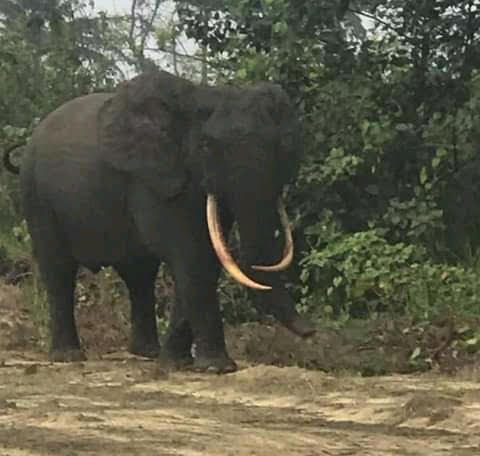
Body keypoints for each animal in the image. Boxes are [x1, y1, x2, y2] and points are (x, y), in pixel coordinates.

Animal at [5, 69, 316, 372]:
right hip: (36, 196)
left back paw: (147, 353)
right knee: (59, 270)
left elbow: (205, 256)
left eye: (281, 147)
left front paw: (177, 363)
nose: (312, 331)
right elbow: (191, 255)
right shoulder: (153, 179)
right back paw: (68, 356)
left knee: (139, 274)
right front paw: (218, 367)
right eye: (206, 146)